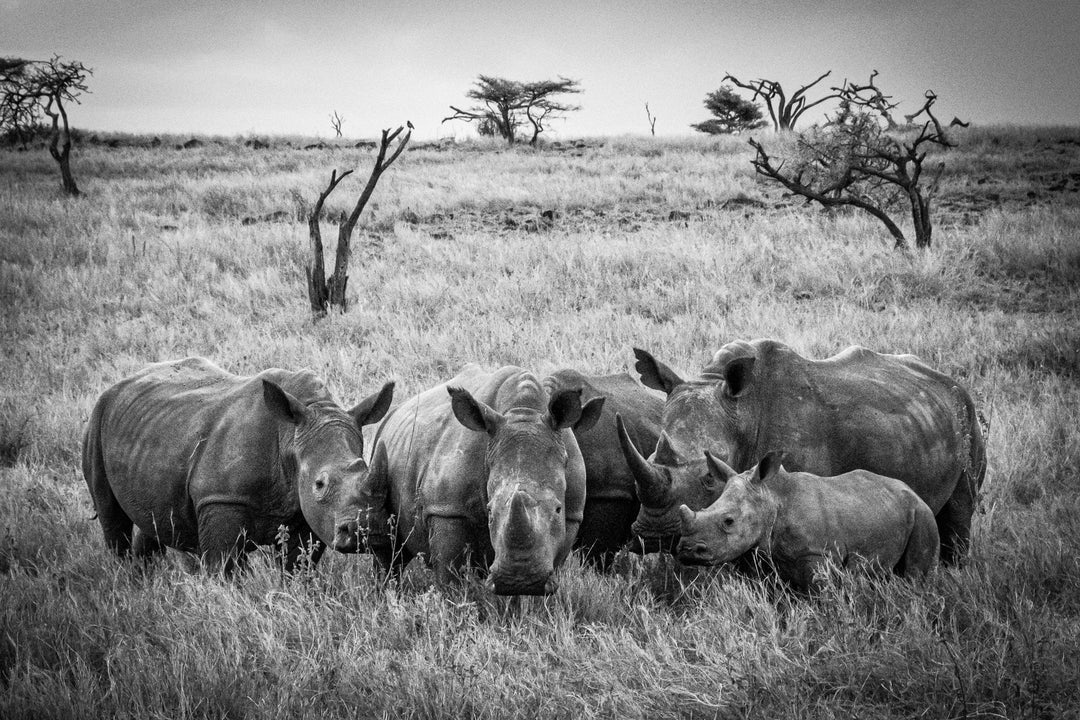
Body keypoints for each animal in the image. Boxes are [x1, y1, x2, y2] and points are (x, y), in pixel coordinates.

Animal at [81, 358, 393, 569]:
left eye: (366, 469)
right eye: (319, 483)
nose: (363, 532)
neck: (289, 438)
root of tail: (120, 384)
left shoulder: (306, 513)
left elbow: (297, 566)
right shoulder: (221, 498)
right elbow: (225, 567)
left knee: (149, 517)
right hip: (97, 421)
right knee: (111, 517)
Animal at [369, 367, 609, 595]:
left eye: (558, 509)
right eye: (490, 510)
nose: (521, 581)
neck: (523, 412)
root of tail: (395, 410)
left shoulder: (572, 514)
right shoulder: (447, 509)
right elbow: (448, 574)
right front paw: (452, 604)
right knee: (388, 548)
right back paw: (386, 593)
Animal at [622, 341, 984, 565]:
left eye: (708, 479)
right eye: (650, 460)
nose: (653, 536)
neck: (741, 413)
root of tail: (948, 380)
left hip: (967, 413)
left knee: (961, 507)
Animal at [678, 451, 941, 591]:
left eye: (729, 521)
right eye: (704, 508)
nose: (687, 550)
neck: (772, 498)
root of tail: (913, 491)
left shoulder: (817, 553)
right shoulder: (764, 555)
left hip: (923, 514)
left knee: (915, 573)